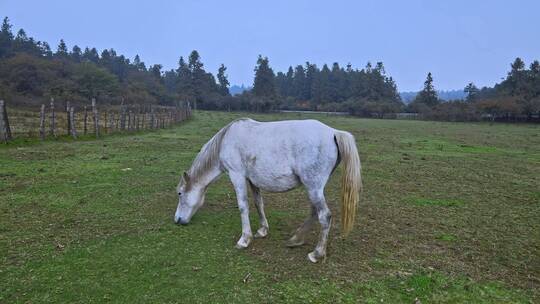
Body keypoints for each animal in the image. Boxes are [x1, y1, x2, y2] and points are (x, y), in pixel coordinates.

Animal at [176, 117, 362, 262]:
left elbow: (243, 206)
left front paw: (244, 239)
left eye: (180, 193)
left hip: (313, 186)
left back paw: (316, 254)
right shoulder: (252, 180)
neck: (226, 140)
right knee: (314, 212)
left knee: (324, 216)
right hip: (313, 187)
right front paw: (262, 230)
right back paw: (296, 239)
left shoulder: (237, 175)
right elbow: (258, 203)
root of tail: (333, 132)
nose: (177, 220)